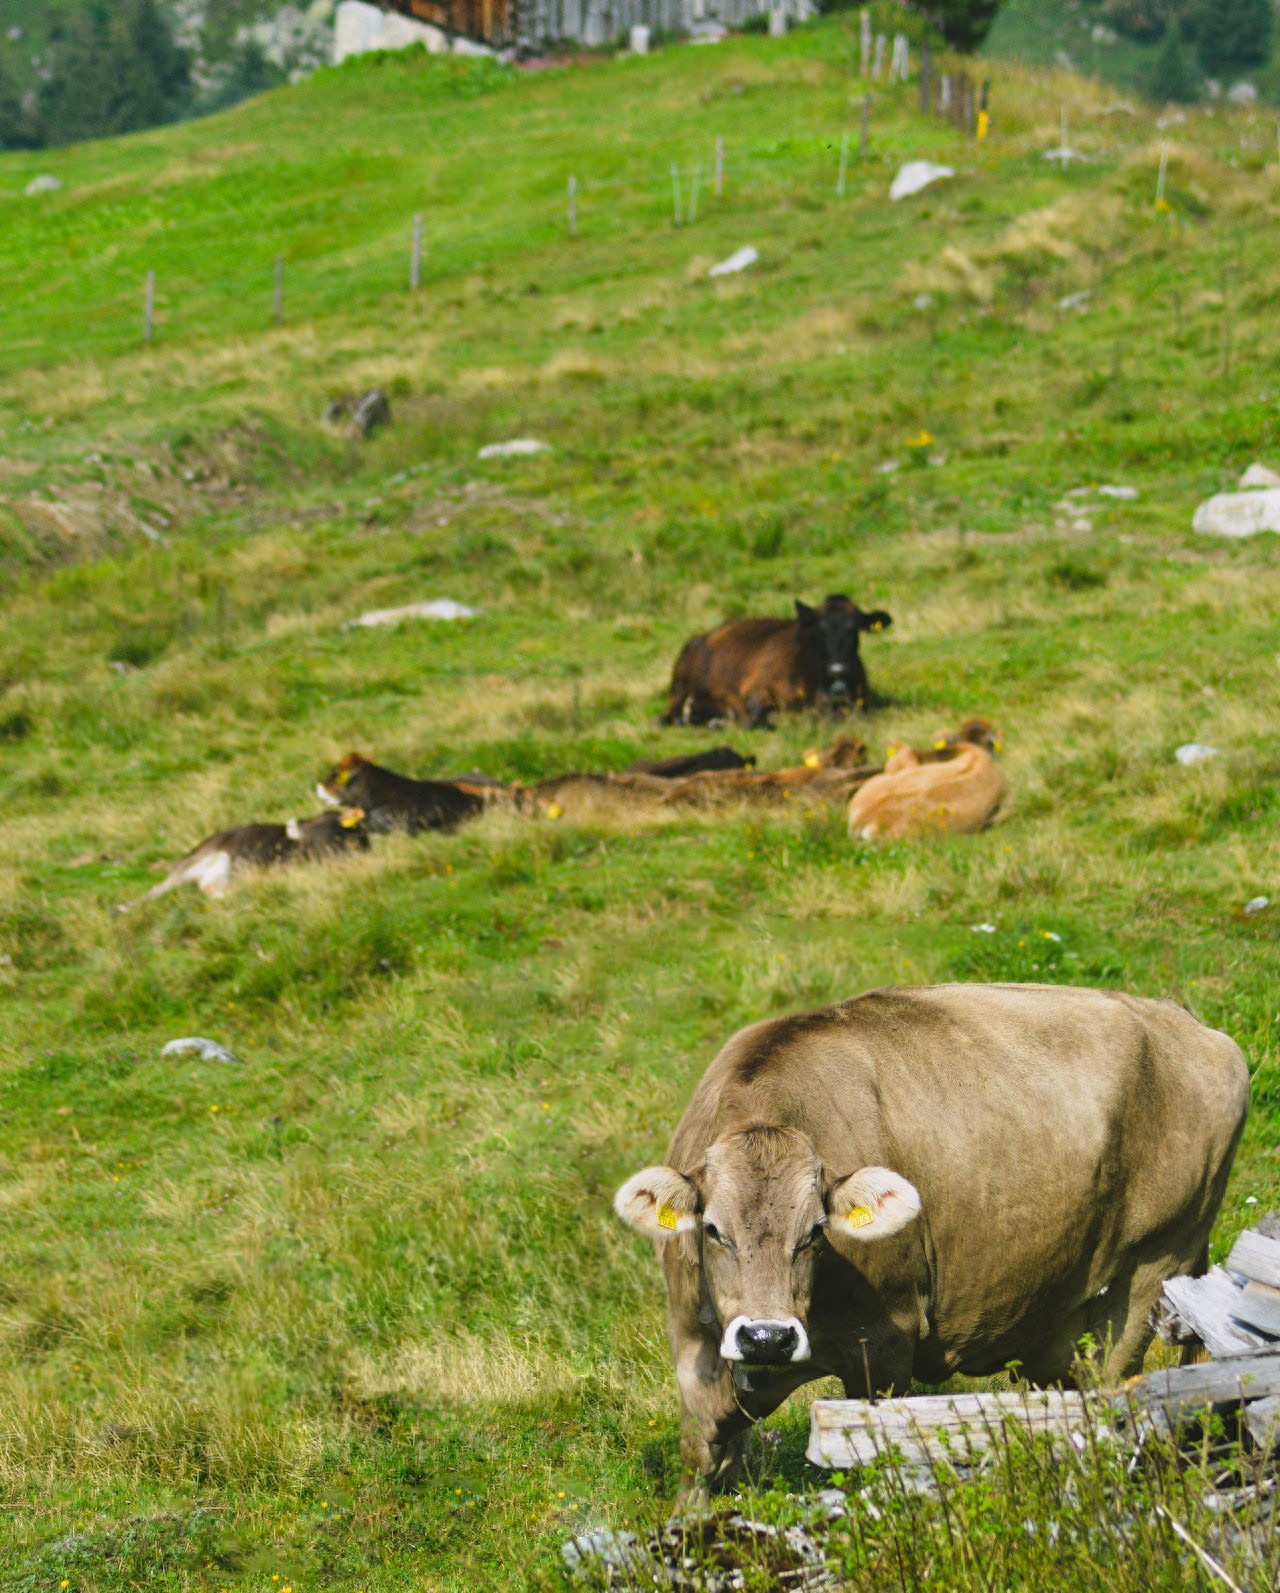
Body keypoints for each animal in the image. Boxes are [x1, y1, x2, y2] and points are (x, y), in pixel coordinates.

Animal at [614, 987, 1248, 1497]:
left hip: (1151, 1270)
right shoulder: (693, 1343)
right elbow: (701, 1460)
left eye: (816, 1231)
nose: (767, 1337)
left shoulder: (886, 1341)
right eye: (712, 1228)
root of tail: (1185, 1021)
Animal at [659, 592, 891, 729]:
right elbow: (756, 717)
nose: (837, 669)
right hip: (679, 688)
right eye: (820, 631)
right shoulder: (757, 688)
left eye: (854, 629)